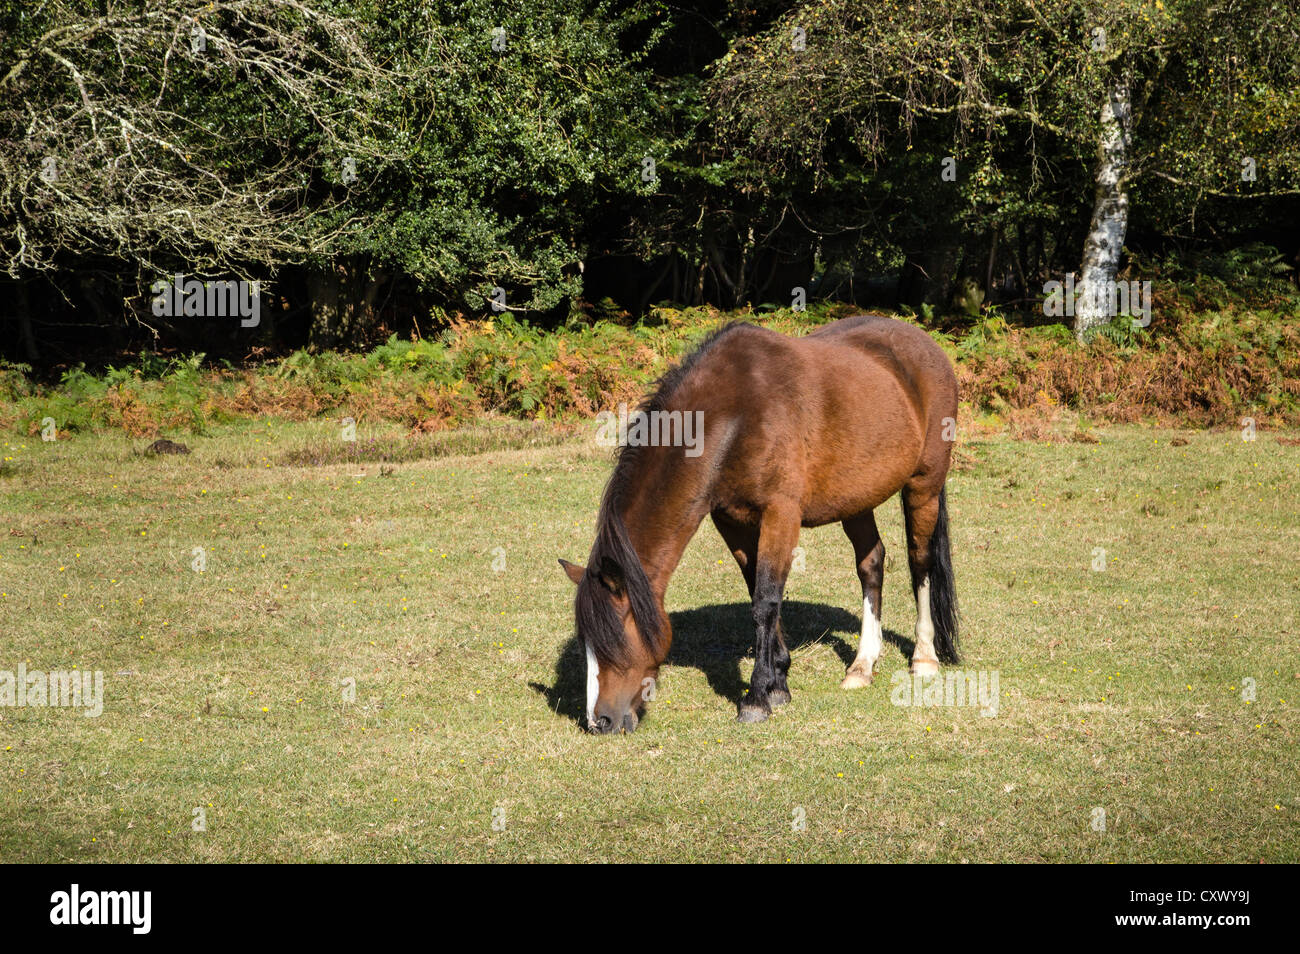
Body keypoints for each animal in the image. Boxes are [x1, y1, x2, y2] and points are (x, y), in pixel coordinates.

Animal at [553, 317, 961, 738]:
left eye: (615, 637)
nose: (598, 721)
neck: (735, 415)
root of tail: (926, 345)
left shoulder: (781, 514)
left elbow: (766, 600)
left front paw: (756, 698)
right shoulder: (730, 521)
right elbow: (757, 590)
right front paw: (778, 682)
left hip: (924, 485)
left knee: (920, 561)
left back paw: (924, 657)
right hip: (857, 498)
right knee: (871, 564)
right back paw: (862, 666)